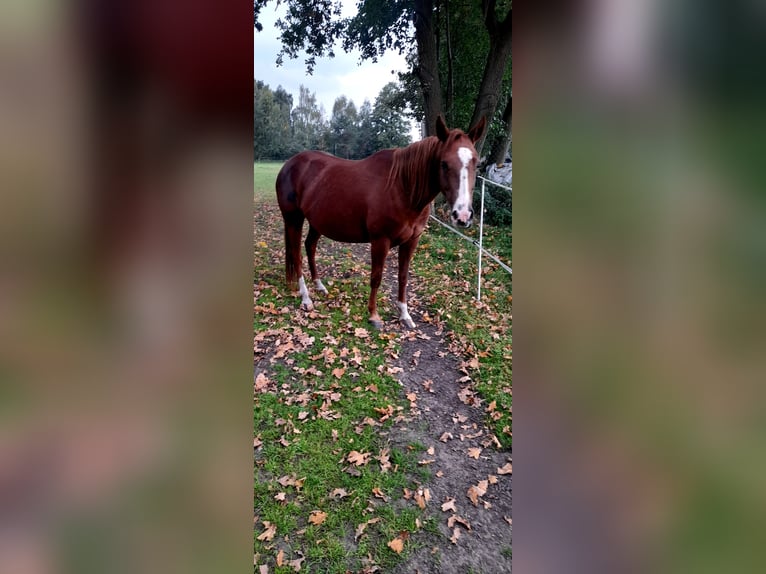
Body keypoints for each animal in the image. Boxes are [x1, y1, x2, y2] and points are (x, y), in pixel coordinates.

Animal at [275, 115, 487, 329]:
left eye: (476, 164)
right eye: (444, 163)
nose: (462, 216)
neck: (402, 187)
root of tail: (289, 165)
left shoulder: (412, 241)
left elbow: (403, 277)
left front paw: (404, 315)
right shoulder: (380, 241)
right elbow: (376, 277)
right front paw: (374, 316)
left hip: (316, 222)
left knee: (309, 246)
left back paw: (319, 285)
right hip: (293, 219)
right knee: (297, 254)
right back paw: (306, 298)